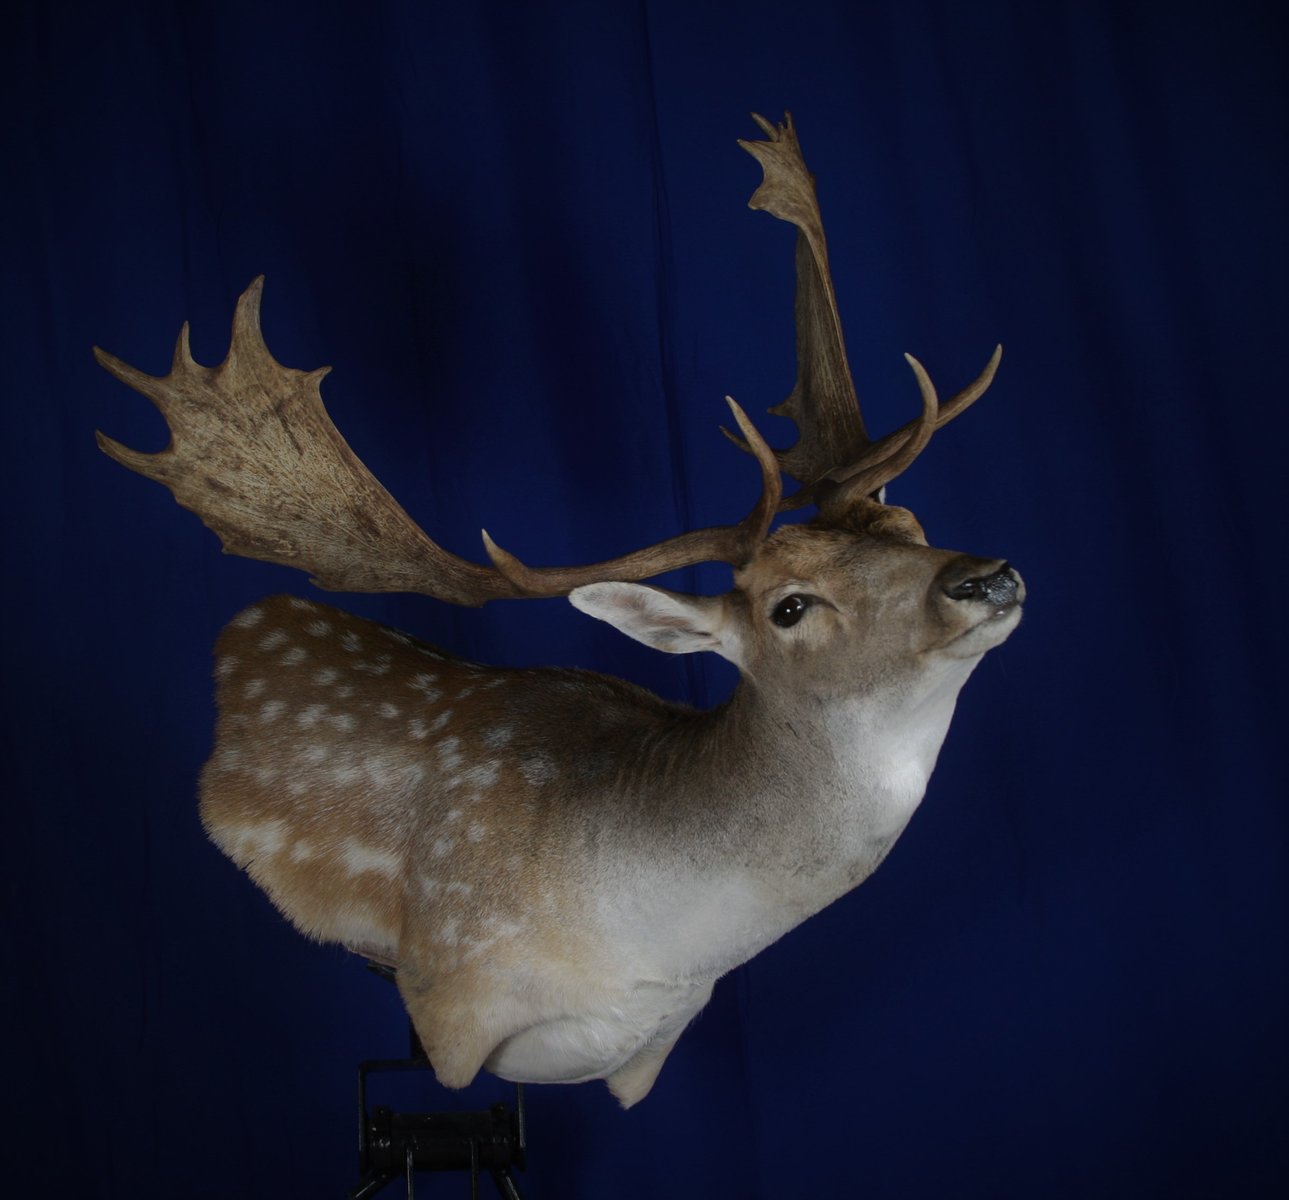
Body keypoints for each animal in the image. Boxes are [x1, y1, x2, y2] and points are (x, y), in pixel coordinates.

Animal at [94, 114, 1023, 1108]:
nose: (984, 576)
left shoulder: (648, 1055)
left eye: (908, 524)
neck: (653, 957)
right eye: (789, 606)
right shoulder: (446, 994)